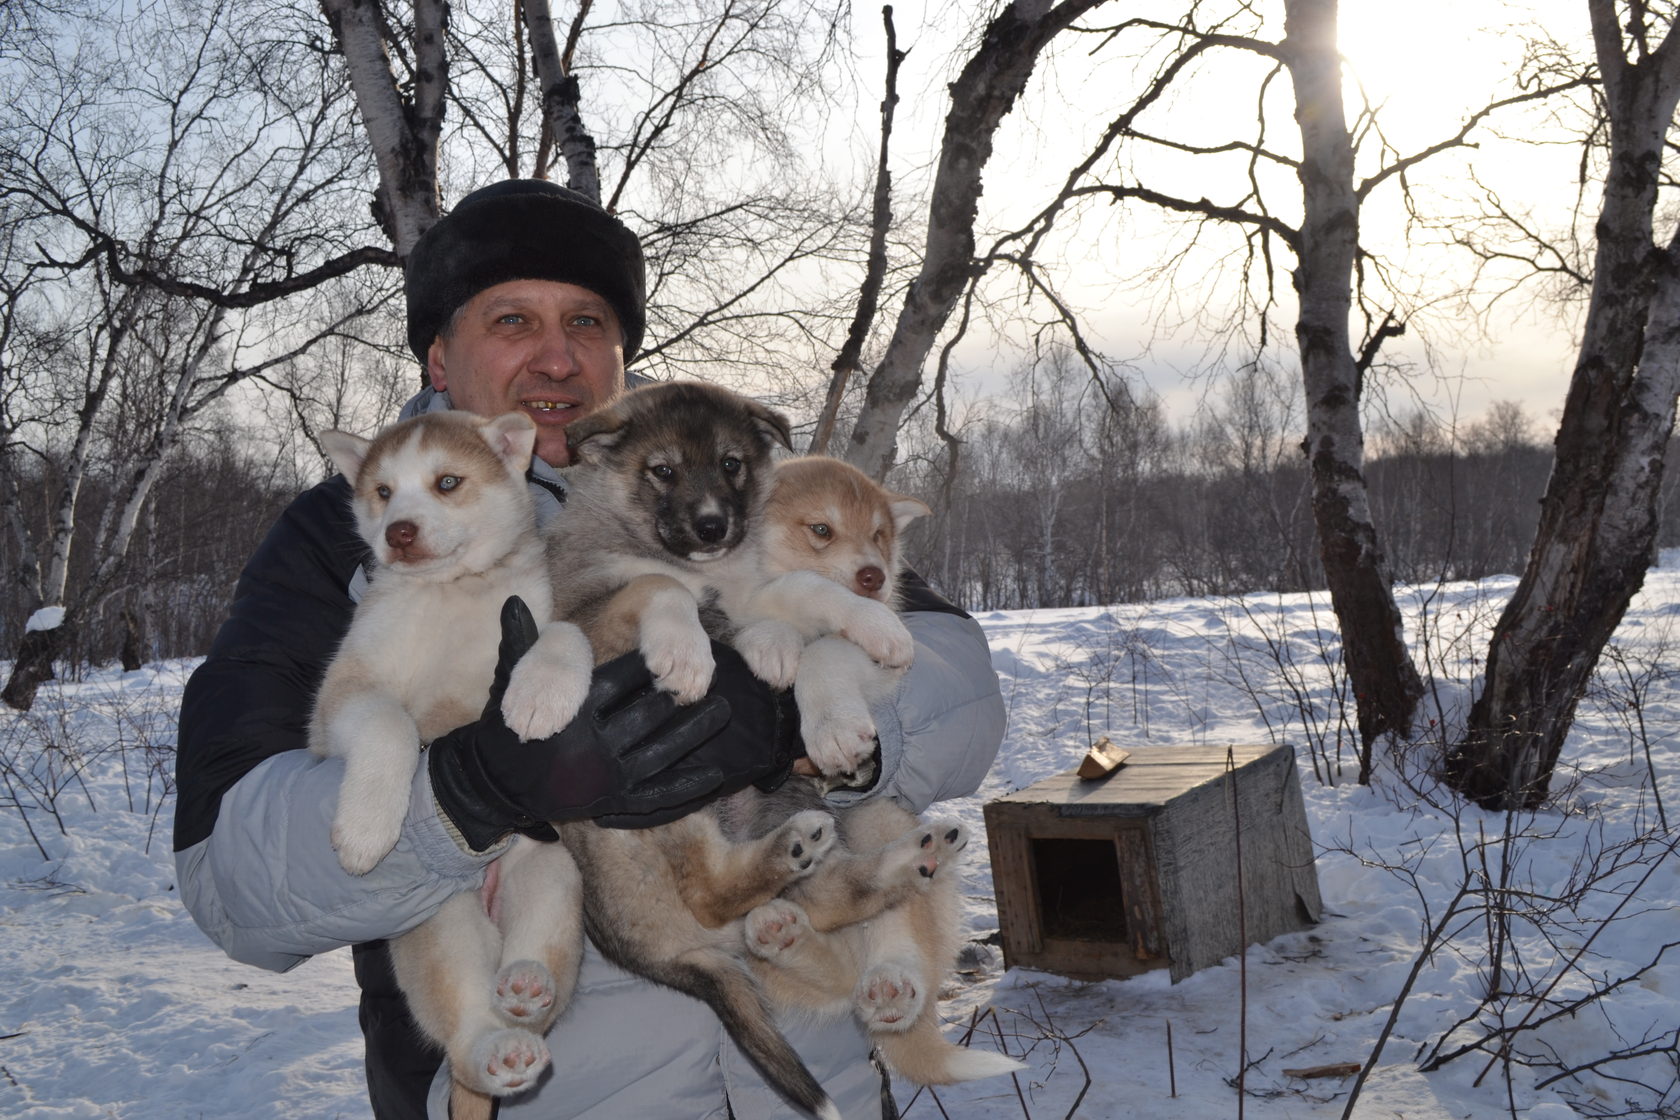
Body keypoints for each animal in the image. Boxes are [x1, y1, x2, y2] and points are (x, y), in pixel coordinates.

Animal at [312, 409, 594, 1114]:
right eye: (383, 492)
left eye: (446, 482)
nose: (398, 532)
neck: (454, 593)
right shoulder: (344, 692)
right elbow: (387, 722)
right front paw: (365, 831)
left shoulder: (539, 609)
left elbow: (565, 631)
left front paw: (542, 691)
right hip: (437, 925)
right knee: (465, 1029)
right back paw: (495, 1047)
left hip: (552, 876)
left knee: (537, 977)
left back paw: (526, 987)